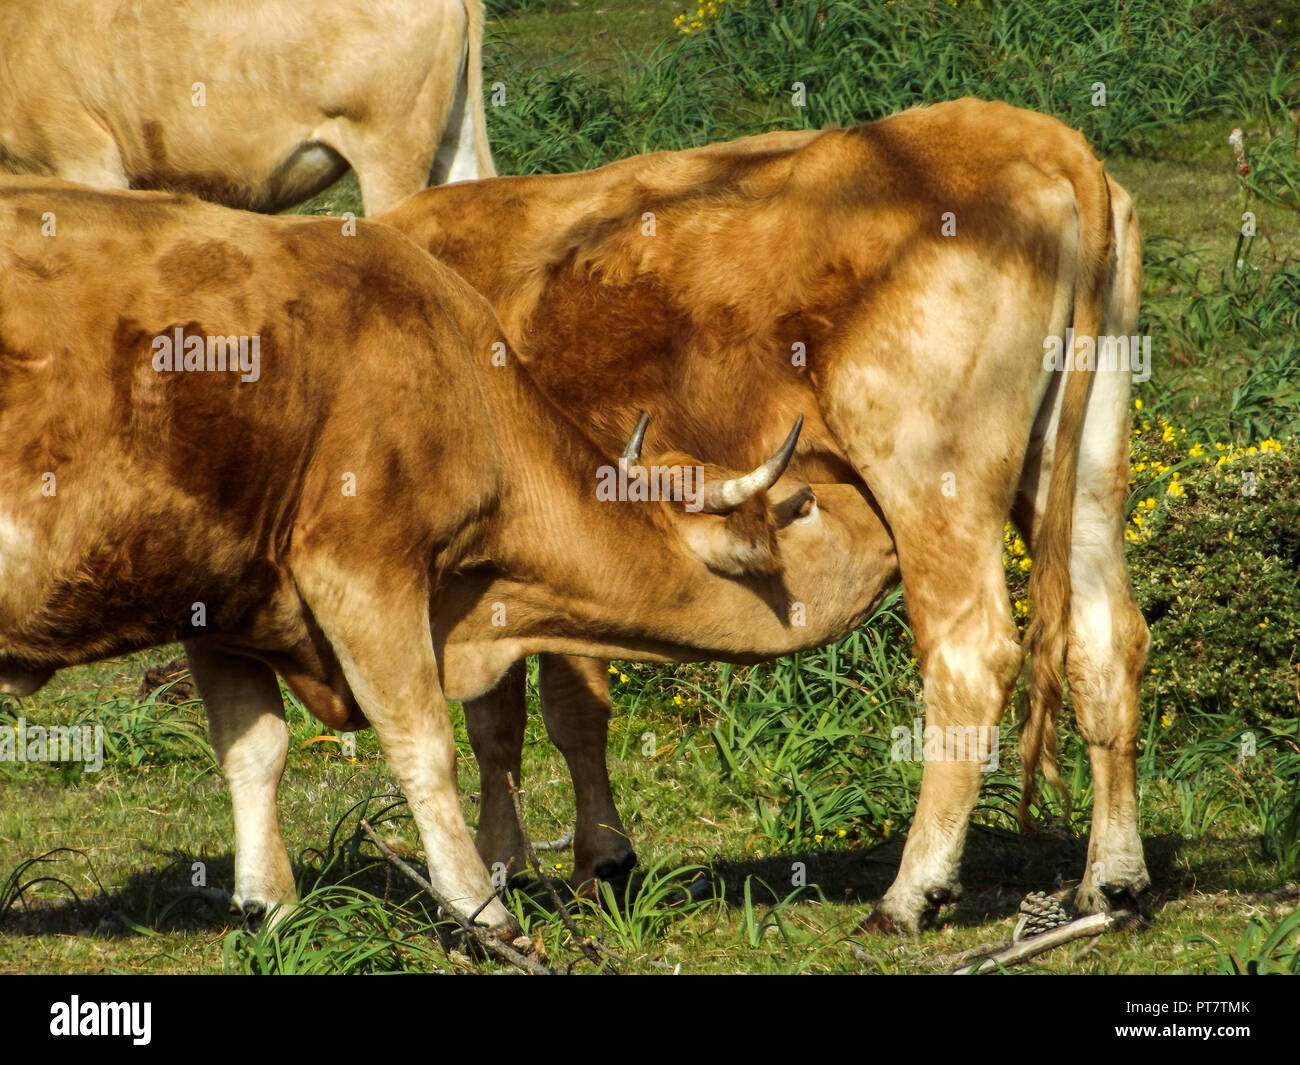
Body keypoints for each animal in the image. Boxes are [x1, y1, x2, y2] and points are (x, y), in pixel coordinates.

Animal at [0, 179, 894, 936]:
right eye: (805, 503)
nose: (891, 529)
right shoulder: (360, 567)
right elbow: (425, 741)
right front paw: (480, 907)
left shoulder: (220, 602)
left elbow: (255, 749)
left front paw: (271, 906)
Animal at [379, 100, 1154, 931]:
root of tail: (1036, 136)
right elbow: (554, 709)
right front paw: (592, 859)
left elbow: (513, 718)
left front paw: (516, 865)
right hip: (1085, 468)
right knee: (1107, 639)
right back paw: (1114, 878)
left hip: (930, 475)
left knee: (970, 657)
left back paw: (912, 892)